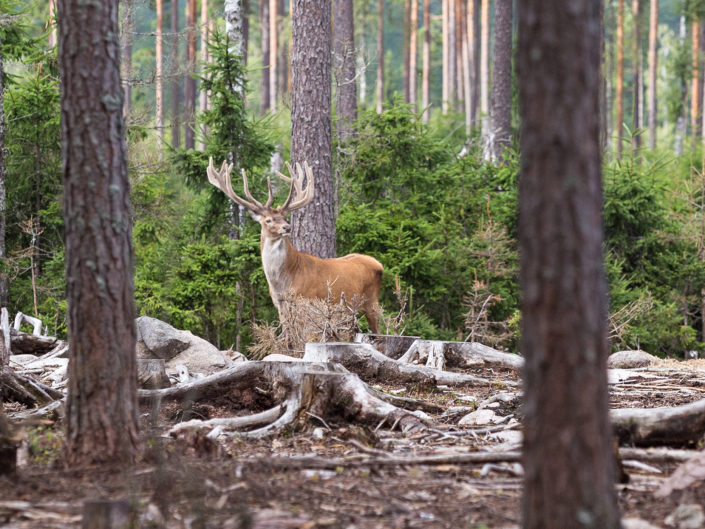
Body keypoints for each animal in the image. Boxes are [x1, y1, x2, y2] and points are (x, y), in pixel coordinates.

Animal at [207, 157, 384, 333]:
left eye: (285, 218)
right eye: (268, 220)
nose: (287, 227)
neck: (282, 283)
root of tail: (379, 264)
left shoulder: (304, 300)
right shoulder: (280, 305)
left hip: (371, 301)